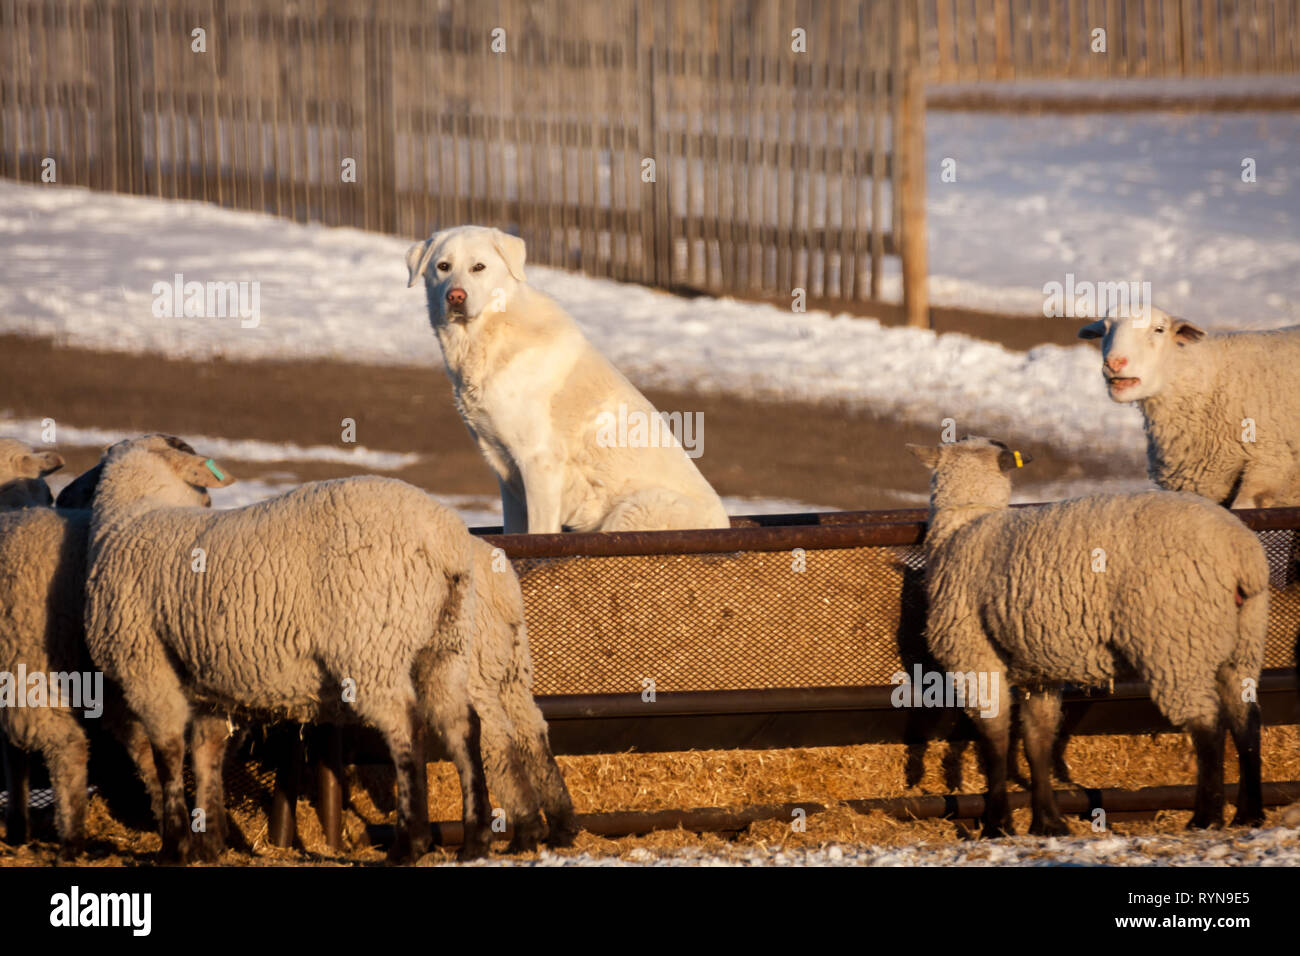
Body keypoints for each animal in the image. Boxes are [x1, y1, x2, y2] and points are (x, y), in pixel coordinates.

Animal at [81, 437, 569, 863]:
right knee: (465, 727)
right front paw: (210, 844)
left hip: (373, 646)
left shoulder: (146, 667)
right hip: (445, 646)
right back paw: (476, 840)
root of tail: (446, 537)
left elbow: (166, 755)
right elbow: (206, 755)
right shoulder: (205, 681)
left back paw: (409, 845)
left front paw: (175, 847)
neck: (136, 512)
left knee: (409, 729)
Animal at [405, 227, 733, 535]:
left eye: (478, 267)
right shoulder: (506, 474)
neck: (492, 334)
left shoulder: (538, 462)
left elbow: (537, 534)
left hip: (630, 510)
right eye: (443, 266)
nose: (455, 296)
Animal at [909, 437, 1263, 832]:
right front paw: (1047, 823)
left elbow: (995, 739)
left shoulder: (973, 655)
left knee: (1209, 727)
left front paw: (998, 824)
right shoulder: (1037, 671)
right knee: (1246, 721)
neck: (964, 523)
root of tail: (1239, 553)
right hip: (1242, 642)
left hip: (1175, 642)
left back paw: (1206, 818)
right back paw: (1249, 814)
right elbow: (1038, 741)